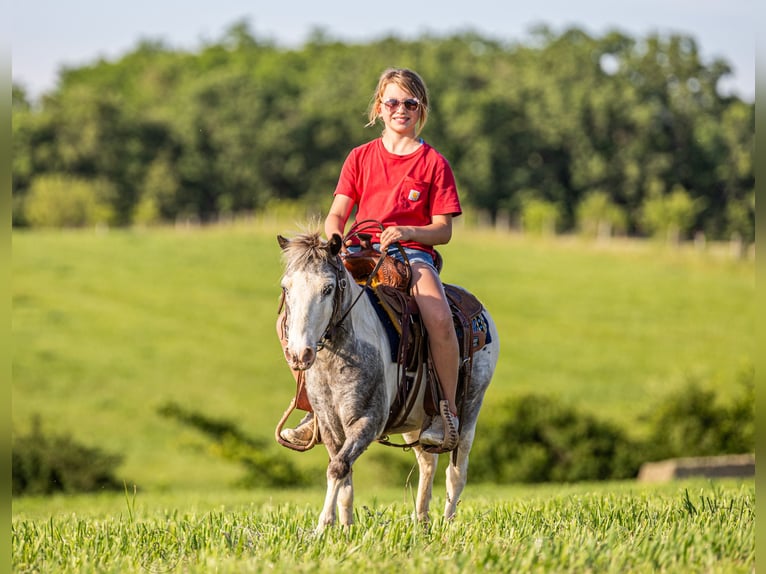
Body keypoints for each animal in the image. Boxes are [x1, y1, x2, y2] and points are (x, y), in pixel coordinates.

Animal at [277, 231, 499, 530]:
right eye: (286, 287)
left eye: (327, 288)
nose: (300, 353)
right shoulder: (329, 424)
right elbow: (344, 477)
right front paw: (345, 527)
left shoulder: (368, 421)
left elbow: (337, 468)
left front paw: (323, 526)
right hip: (415, 419)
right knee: (428, 462)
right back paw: (421, 520)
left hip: (469, 409)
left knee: (456, 472)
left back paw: (447, 522)